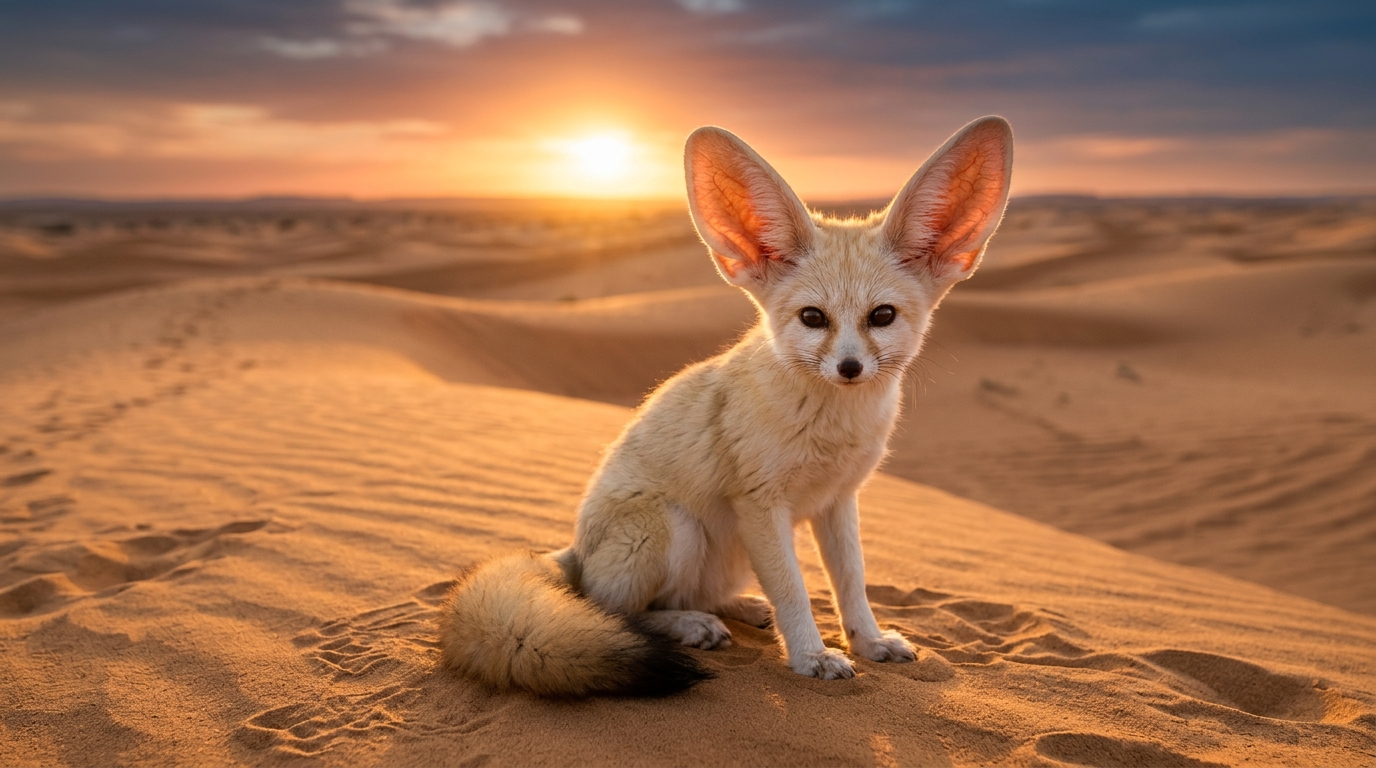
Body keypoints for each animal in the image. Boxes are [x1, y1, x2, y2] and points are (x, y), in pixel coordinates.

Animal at [437, 116, 1014, 696]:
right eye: (813, 318)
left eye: (883, 316)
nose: (849, 368)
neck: (831, 428)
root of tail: (574, 550)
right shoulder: (760, 503)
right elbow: (794, 590)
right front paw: (811, 656)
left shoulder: (838, 501)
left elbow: (851, 583)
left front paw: (868, 642)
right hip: (674, 527)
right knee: (619, 611)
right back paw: (691, 627)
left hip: (732, 552)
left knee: (692, 596)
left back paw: (739, 609)